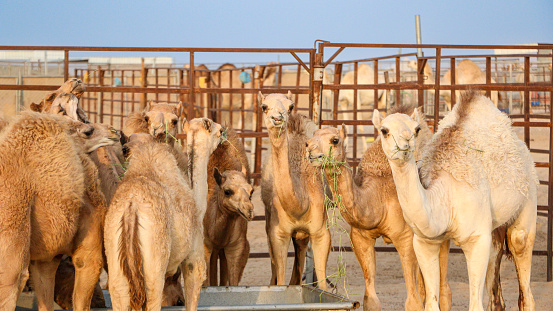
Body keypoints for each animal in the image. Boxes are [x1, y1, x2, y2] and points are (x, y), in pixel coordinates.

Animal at [256, 92, 330, 290]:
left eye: (290, 106)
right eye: (264, 106)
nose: (278, 116)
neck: (299, 205)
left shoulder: (321, 232)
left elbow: (323, 284)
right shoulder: (278, 233)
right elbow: (280, 280)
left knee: (301, 248)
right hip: (268, 220)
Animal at [304, 106, 450, 310]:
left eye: (335, 140)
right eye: (311, 138)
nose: (310, 149)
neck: (377, 198)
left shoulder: (405, 237)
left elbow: (413, 301)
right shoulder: (360, 237)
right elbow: (370, 298)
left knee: (443, 289)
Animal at [374, 91, 536, 310]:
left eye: (416, 129)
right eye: (384, 130)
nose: (406, 141)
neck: (445, 195)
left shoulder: (477, 238)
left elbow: (475, 304)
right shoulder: (424, 242)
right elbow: (431, 303)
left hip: (529, 197)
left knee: (520, 248)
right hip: (495, 224)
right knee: (496, 255)